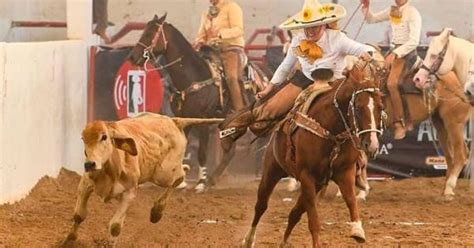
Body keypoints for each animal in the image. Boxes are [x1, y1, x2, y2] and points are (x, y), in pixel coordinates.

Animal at [62, 113, 222, 245]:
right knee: (184, 170)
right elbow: (79, 215)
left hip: (162, 174)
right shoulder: (85, 184)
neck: (109, 170)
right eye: (83, 139)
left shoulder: (129, 193)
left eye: (104, 137)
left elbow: (115, 227)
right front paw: (69, 240)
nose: (90, 164)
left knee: (180, 175)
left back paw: (157, 211)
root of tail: (173, 120)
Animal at [128, 14, 270, 192]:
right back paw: (213, 179)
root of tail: (265, 77)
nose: (132, 57)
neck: (193, 76)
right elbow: (184, 147)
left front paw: (200, 182)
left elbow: (201, 152)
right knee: (231, 151)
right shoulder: (184, 119)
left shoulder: (203, 120)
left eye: (149, 33)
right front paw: (182, 181)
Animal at [243, 58, 386, 248]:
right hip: (272, 170)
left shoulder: (344, 172)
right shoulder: (307, 176)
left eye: (380, 107)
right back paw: (248, 240)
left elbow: (351, 200)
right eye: (357, 108)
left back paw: (283, 242)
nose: (372, 145)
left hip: (315, 183)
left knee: (294, 213)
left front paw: (357, 231)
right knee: (261, 205)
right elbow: (314, 220)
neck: (331, 131)